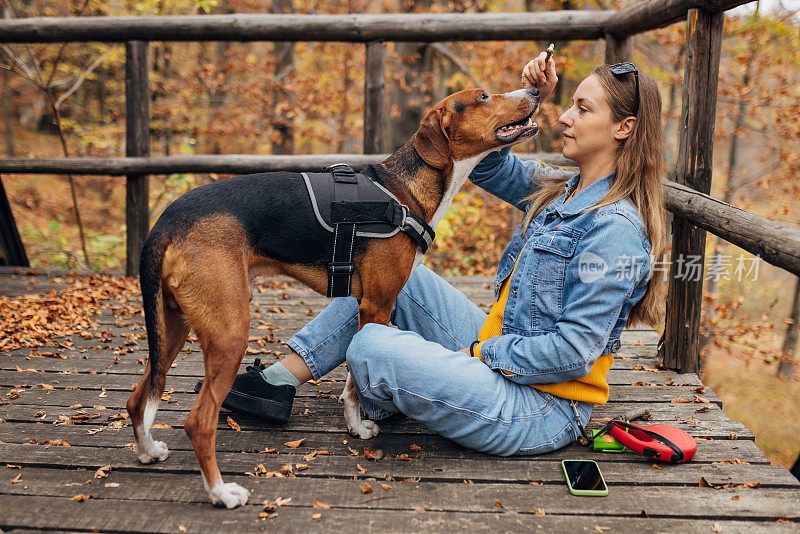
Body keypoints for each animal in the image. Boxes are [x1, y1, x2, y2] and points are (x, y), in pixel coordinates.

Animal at [126, 86, 536, 508]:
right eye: (483, 97)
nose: (535, 89)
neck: (404, 190)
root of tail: (166, 221)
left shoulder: (365, 307)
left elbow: (351, 379)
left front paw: (355, 424)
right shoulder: (377, 306)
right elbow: (355, 379)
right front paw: (361, 424)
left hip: (173, 326)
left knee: (138, 399)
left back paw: (148, 450)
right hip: (229, 332)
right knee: (198, 421)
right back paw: (221, 492)